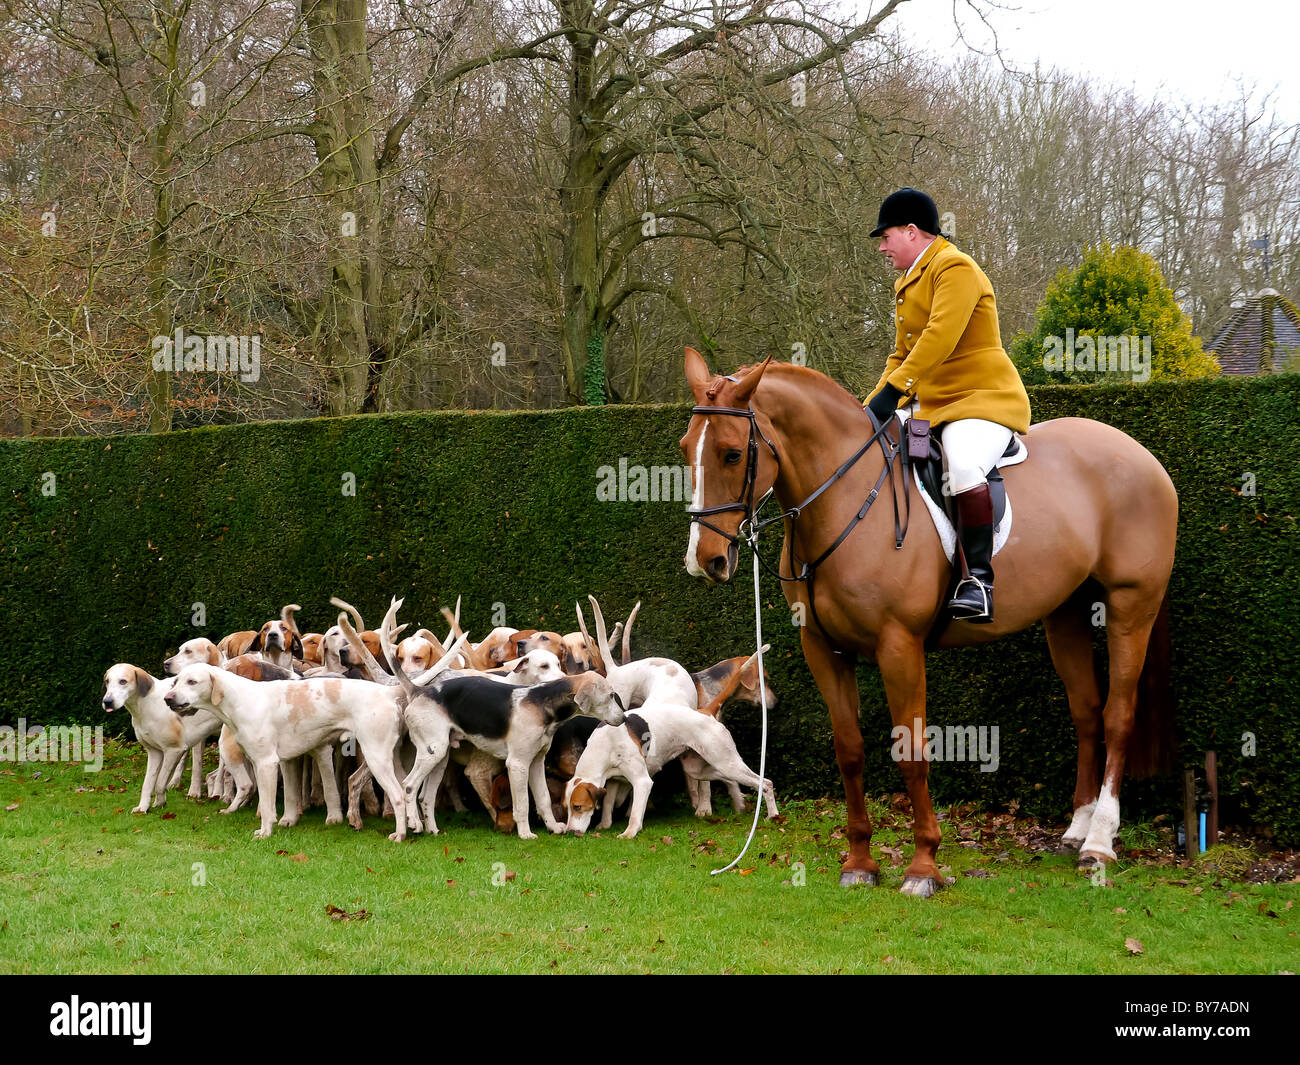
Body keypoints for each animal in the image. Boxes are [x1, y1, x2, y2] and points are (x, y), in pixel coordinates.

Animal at [681, 351, 1180, 899]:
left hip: (1132, 605)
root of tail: (1141, 454)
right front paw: (859, 861)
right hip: (1066, 613)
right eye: (685, 449)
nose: (705, 560)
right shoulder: (823, 648)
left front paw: (924, 865)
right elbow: (849, 751)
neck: (847, 496)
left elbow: (912, 750)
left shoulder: (900, 646)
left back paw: (1100, 843)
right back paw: (1076, 830)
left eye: (731, 454)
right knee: (1087, 712)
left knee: (1117, 715)